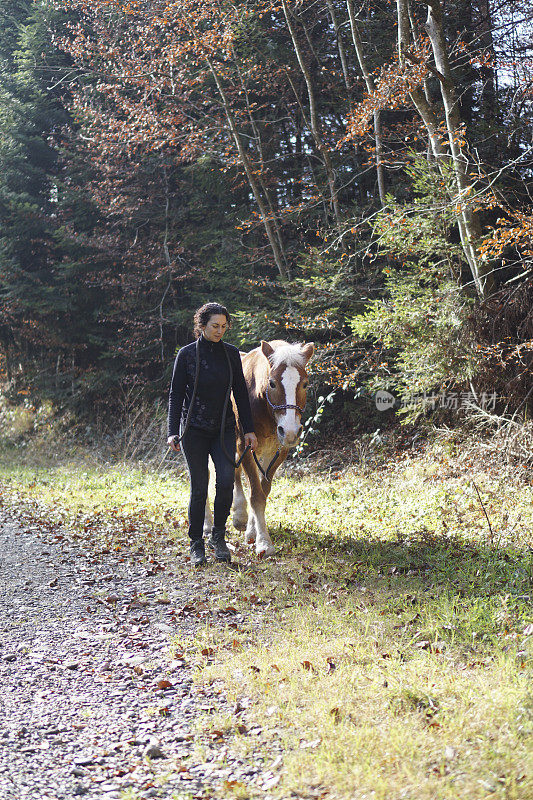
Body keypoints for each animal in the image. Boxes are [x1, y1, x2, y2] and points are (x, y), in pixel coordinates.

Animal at [231, 338, 314, 556]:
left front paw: (253, 531)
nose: (291, 431)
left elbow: (263, 490)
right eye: (272, 383)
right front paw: (264, 542)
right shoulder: (245, 446)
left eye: (305, 384)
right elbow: (256, 495)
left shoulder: (278, 452)